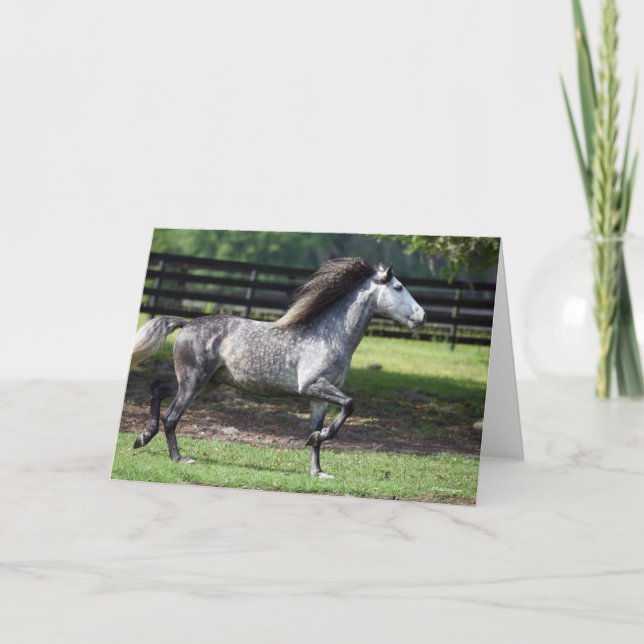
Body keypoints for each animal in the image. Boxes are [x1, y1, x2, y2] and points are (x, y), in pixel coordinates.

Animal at [129, 257, 426, 478]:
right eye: (399, 287)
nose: (422, 316)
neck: (329, 335)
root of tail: (187, 324)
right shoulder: (313, 386)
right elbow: (350, 405)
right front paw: (318, 441)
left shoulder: (320, 398)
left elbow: (321, 428)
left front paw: (318, 470)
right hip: (194, 381)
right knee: (172, 416)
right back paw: (179, 458)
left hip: (204, 382)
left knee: (158, 388)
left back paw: (142, 438)